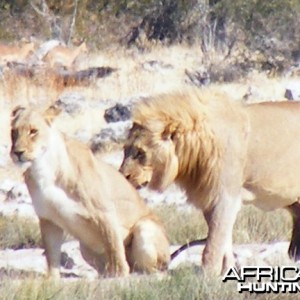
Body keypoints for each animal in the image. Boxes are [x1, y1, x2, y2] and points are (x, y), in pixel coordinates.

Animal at [10, 104, 170, 278]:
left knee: (150, 268)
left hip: (145, 229)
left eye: (33, 131)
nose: (17, 152)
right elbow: (52, 255)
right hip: (85, 248)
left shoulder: (104, 213)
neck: (43, 166)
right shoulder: (48, 219)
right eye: (14, 132)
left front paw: (120, 275)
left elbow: (114, 248)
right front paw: (51, 279)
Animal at [120, 88, 300, 276]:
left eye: (140, 153)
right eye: (125, 150)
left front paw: (207, 275)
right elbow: (223, 240)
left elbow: (213, 244)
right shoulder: (209, 198)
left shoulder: (226, 197)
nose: (123, 175)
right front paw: (227, 271)